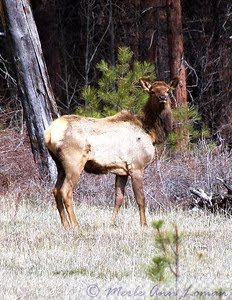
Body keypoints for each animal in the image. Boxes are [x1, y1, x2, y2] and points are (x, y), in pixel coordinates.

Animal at [44, 77, 179, 227]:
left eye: (168, 90)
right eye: (152, 91)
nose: (163, 98)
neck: (151, 132)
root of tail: (49, 134)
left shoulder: (122, 171)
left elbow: (119, 198)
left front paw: (111, 222)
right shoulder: (137, 166)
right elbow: (141, 199)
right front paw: (144, 225)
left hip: (60, 165)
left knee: (55, 190)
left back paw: (65, 224)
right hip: (74, 162)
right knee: (65, 191)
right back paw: (76, 225)